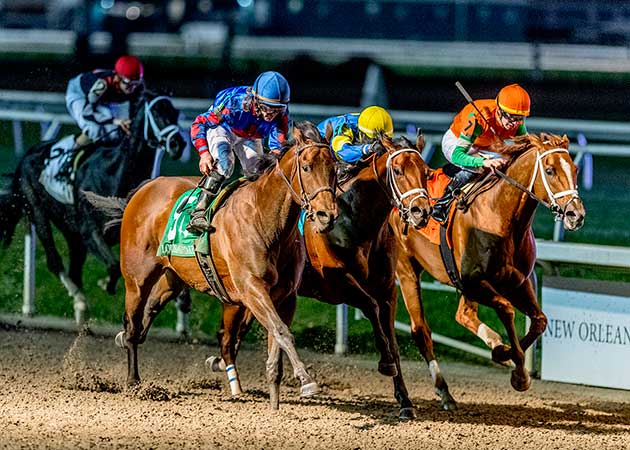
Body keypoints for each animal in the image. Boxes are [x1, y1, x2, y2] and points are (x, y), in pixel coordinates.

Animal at [0, 92, 186, 324]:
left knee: (74, 269)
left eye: (176, 113)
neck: (114, 173)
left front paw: (182, 300)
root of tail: (27, 155)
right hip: (38, 210)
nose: (178, 143)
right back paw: (80, 301)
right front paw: (106, 284)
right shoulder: (90, 232)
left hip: (71, 232)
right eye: (157, 112)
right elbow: (114, 266)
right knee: (55, 261)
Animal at [107, 122, 340, 408]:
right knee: (132, 323)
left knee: (148, 312)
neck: (266, 221)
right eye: (306, 167)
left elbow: (277, 339)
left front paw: (275, 400)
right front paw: (307, 381)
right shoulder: (252, 288)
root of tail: (146, 187)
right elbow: (282, 332)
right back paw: (133, 380)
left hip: (173, 278)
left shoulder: (285, 296)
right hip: (136, 279)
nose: (327, 216)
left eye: (334, 168)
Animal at [210, 130, 442, 418]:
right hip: (239, 293)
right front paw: (386, 363)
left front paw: (405, 401)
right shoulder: (335, 284)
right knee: (228, 335)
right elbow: (371, 307)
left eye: (426, 172)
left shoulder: (387, 288)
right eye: (398, 170)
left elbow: (391, 338)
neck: (358, 222)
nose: (421, 211)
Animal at [392, 131, 592, 398]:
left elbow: (540, 320)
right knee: (421, 327)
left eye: (575, 169)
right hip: (407, 269)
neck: (501, 216)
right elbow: (506, 309)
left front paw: (505, 354)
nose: (575, 215)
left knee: (463, 314)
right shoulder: (474, 282)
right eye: (550, 171)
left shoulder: (518, 281)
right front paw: (516, 368)